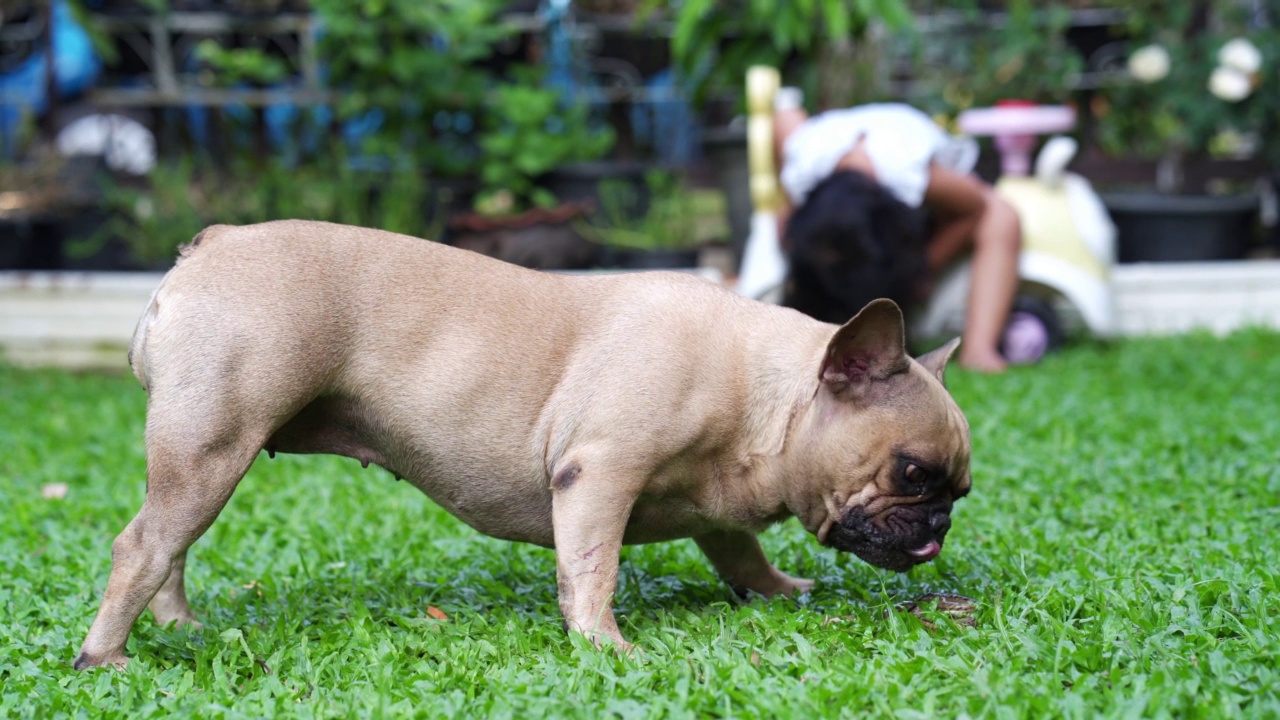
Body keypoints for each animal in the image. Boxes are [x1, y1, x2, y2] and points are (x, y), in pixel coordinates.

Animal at [72, 219, 967, 666]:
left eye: (957, 490)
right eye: (912, 473)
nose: (939, 527)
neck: (766, 394)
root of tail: (213, 240)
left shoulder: (715, 505)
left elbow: (736, 551)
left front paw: (778, 588)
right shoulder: (601, 473)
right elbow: (593, 568)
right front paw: (604, 644)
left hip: (198, 454)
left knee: (171, 543)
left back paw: (179, 627)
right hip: (213, 446)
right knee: (143, 545)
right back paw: (106, 659)